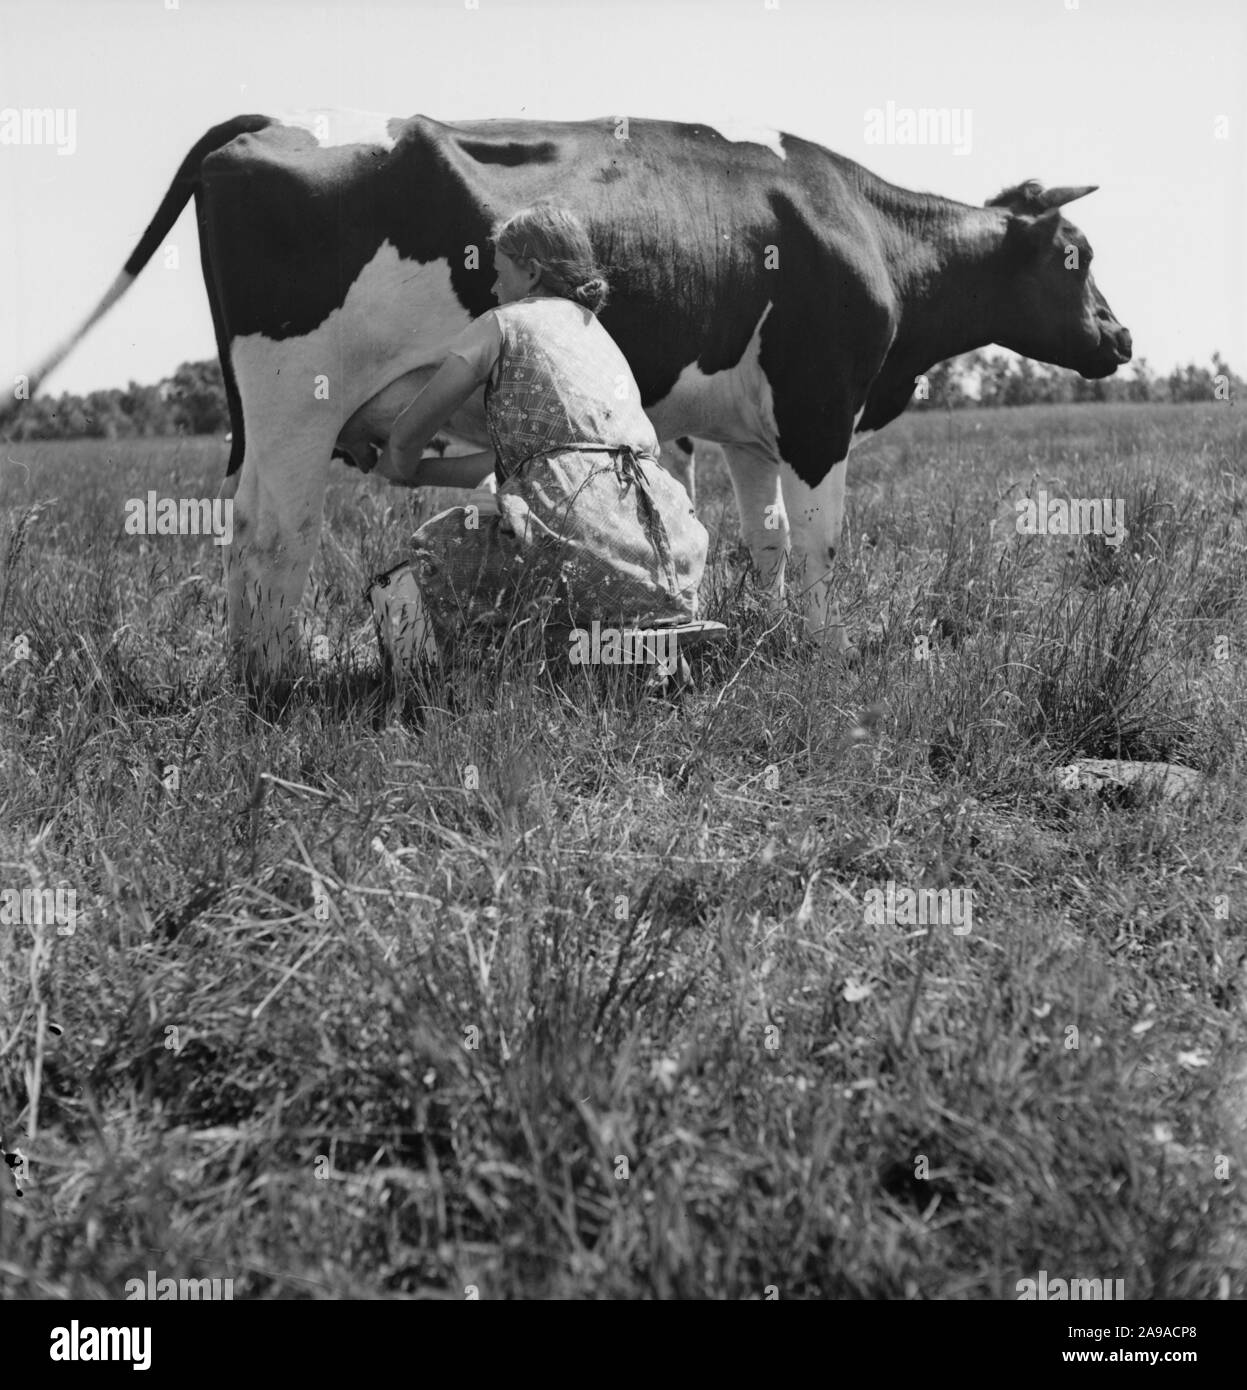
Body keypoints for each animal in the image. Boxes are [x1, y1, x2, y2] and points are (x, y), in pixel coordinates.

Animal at [0, 109, 1128, 678]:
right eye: (1073, 256)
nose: (1118, 336)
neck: (862, 228)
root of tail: (271, 130)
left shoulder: (752, 428)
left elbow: (765, 538)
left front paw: (776, 633)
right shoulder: (821, 410)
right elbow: (818, 544)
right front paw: (823, 647)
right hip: (292, 413)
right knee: (270, 537)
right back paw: (276, 680)